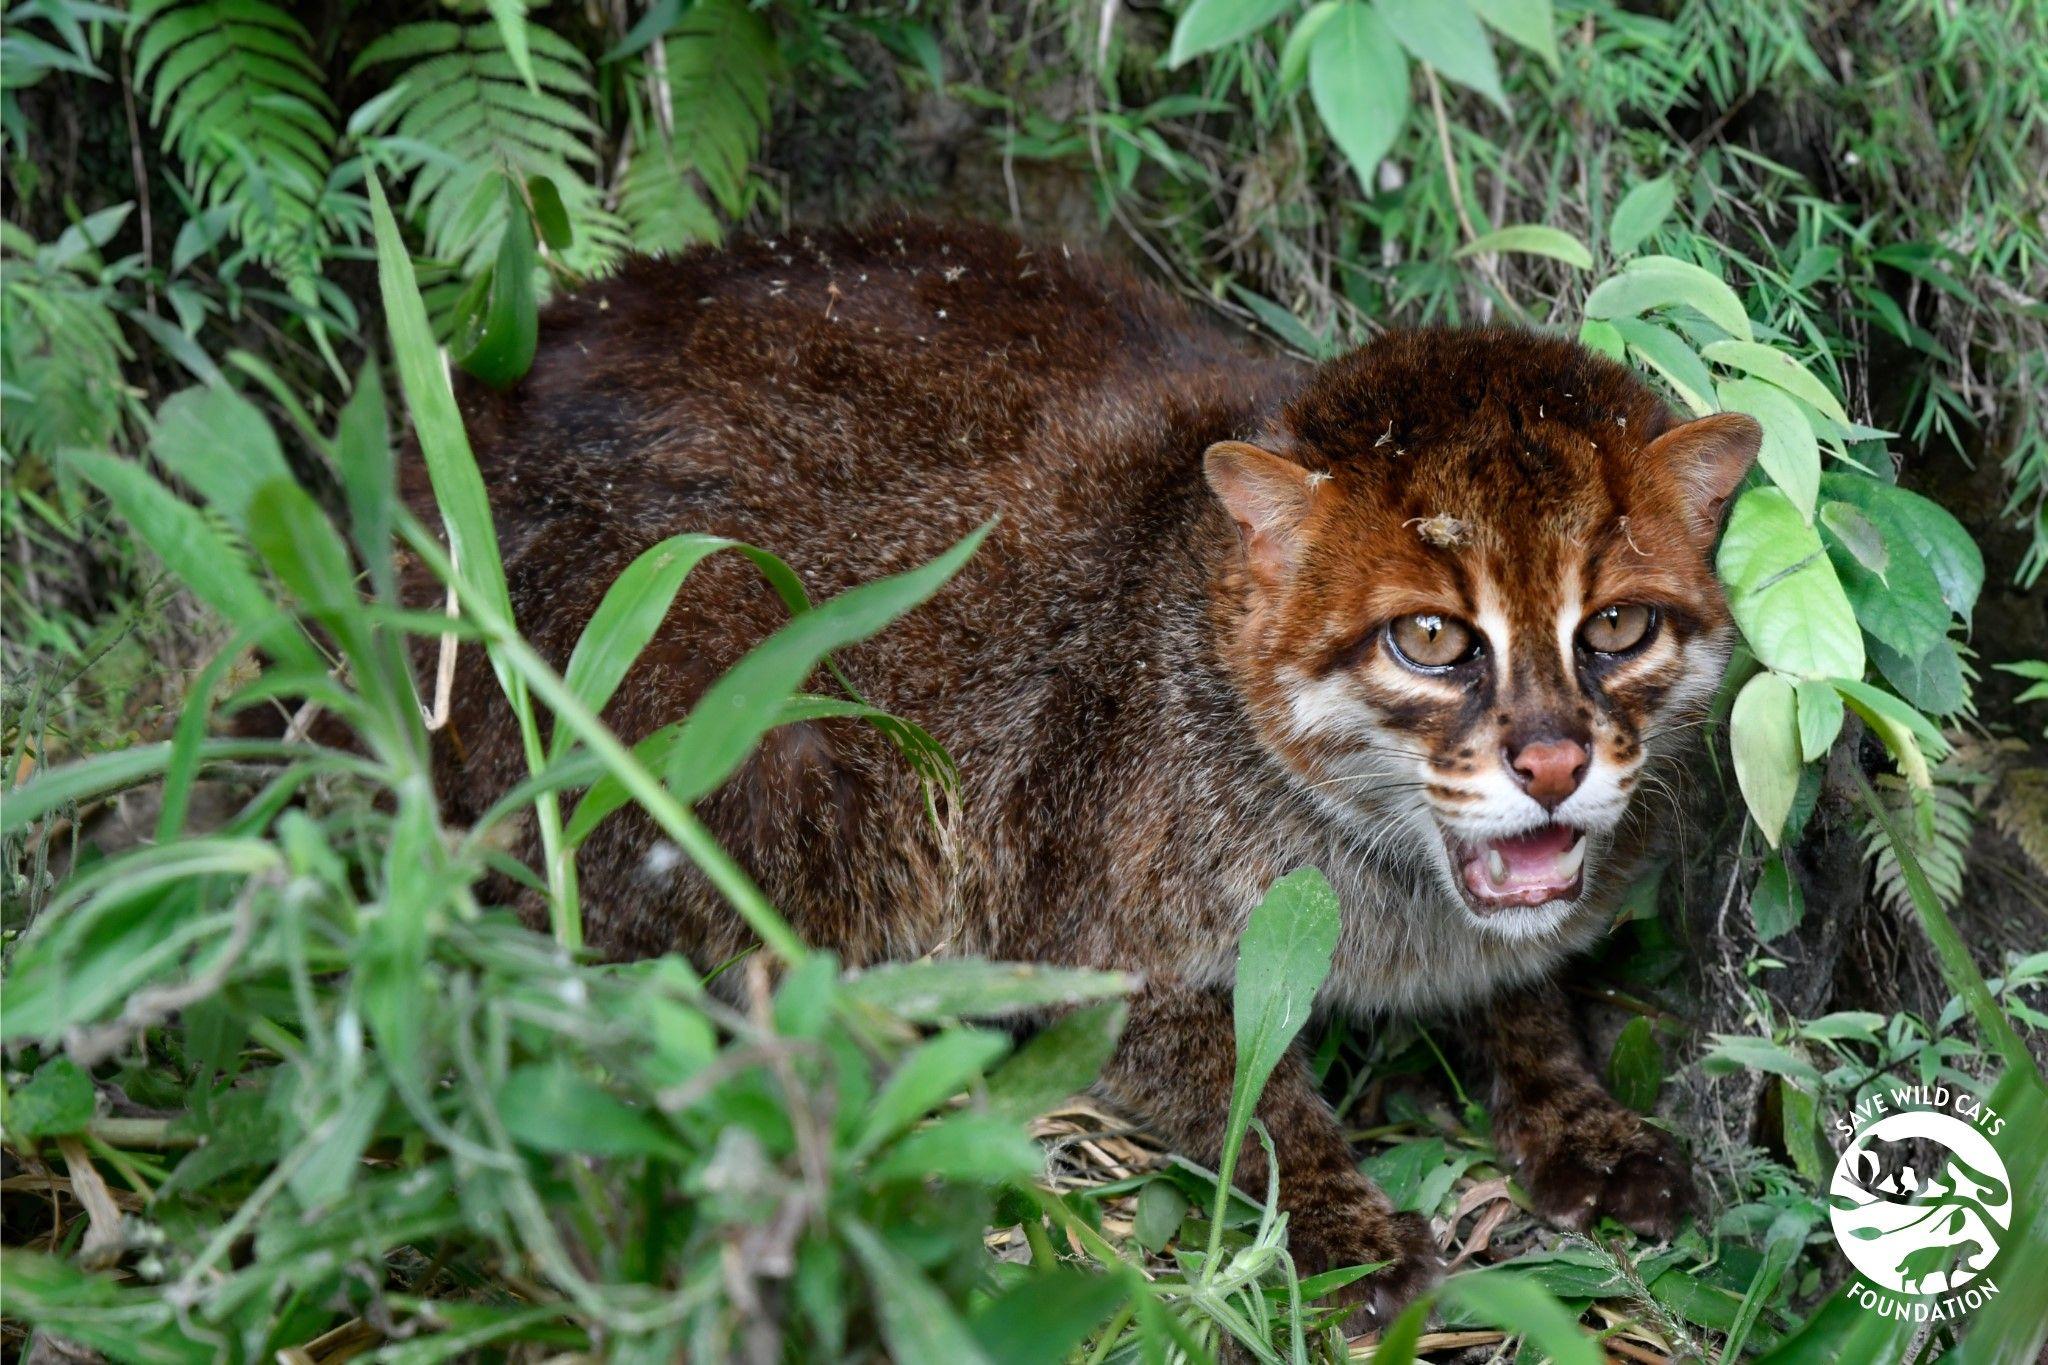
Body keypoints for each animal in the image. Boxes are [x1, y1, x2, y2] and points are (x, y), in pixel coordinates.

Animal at [419, 218, 1761, 1317]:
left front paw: (1583, 1123)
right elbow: (1247, 1099)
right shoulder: (1089, 942)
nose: (1551, 759)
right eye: (1428, 638)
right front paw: (1343, 1229)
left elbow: (1529, 1000)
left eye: (1616, 627)